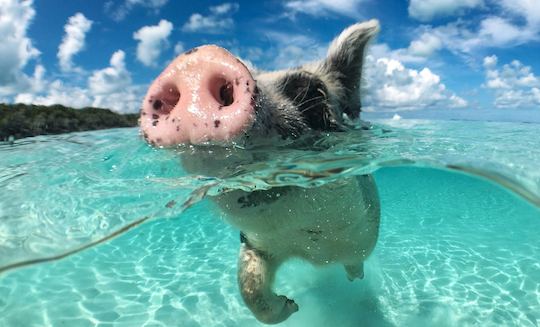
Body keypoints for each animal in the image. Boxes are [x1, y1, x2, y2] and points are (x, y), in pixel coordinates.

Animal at [141, 20, 382, 326]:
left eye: (311, 92)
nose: (196, 61)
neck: (311, 247)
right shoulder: (256, 244)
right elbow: (249, 287)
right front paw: (292, 306)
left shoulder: (359, 236)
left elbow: (354, 261)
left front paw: (343, 283)